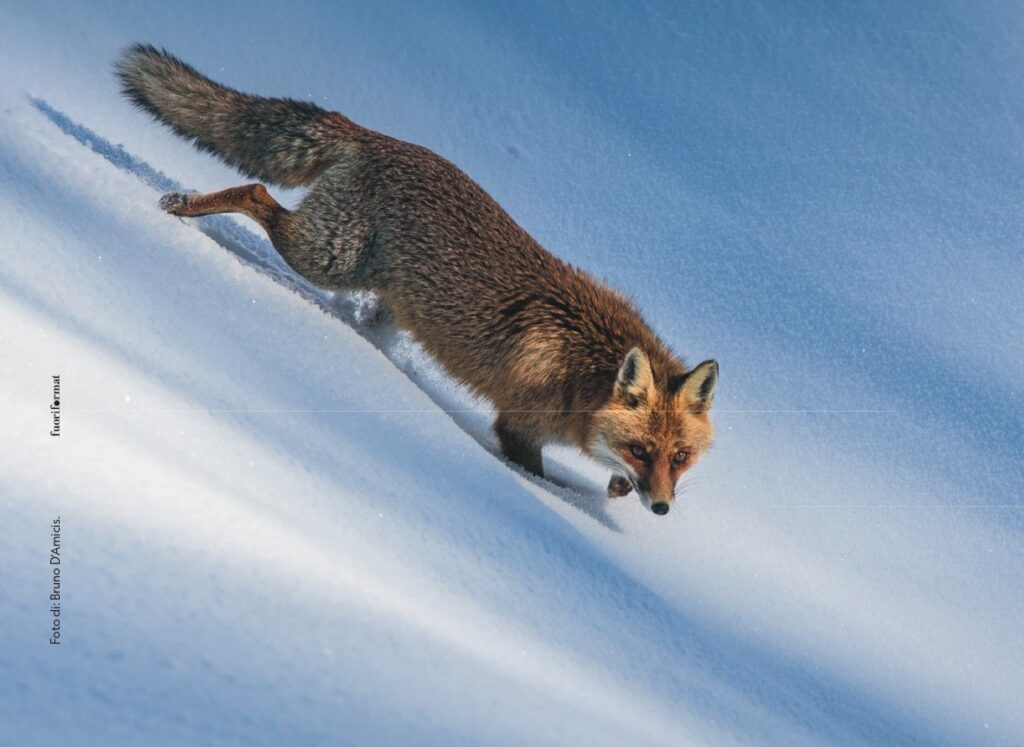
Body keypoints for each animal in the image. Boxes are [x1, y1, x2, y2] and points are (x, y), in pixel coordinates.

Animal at [114, 43, 720, 516]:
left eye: (679, 457)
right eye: (642, 450)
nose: (662, 507)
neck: (584, 367)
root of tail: (376, 136)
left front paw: (614, 488)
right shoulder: (517, 428)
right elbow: (547, 482)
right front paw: (577, 502)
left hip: (383, 295)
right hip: (325, 254)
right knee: (255, 192)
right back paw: (183, 206)